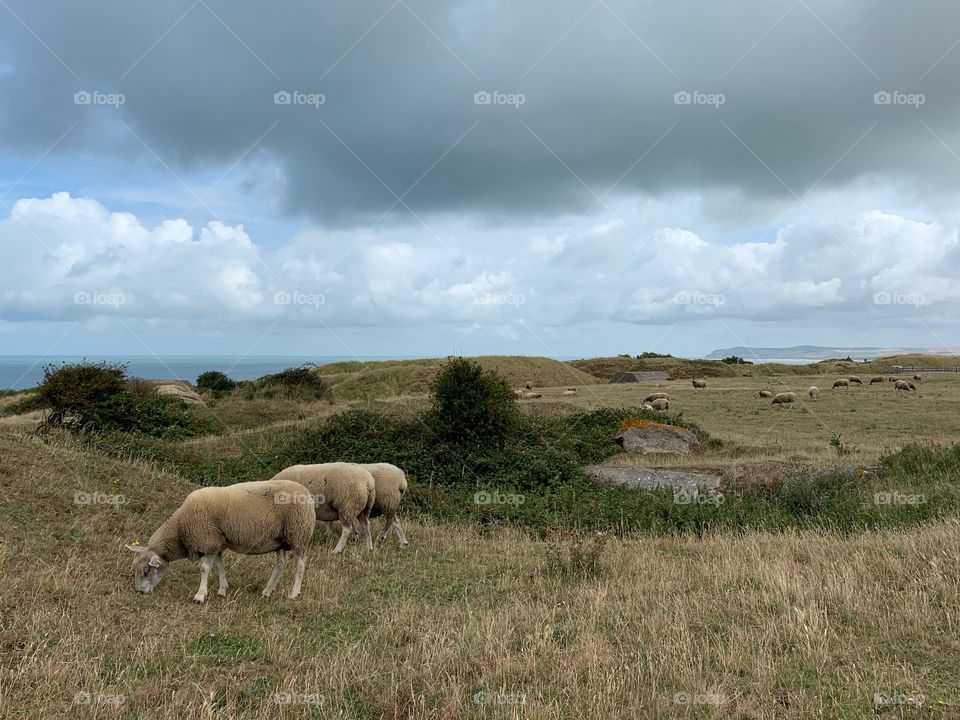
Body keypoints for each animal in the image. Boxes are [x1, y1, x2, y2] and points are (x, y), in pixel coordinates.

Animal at [124, 480, 316, 604]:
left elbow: (204, 568)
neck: (180, 529)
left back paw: (294, 593)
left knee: (300, 565)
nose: (139, 592)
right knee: (280, 565)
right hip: (280, 540)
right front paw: (222, 590)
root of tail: (306, 492)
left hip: (298, 534)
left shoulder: (208, 541)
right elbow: (219, 567)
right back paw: (267, 592)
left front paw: (200, 596)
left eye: (147, 571)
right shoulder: (217, 543)